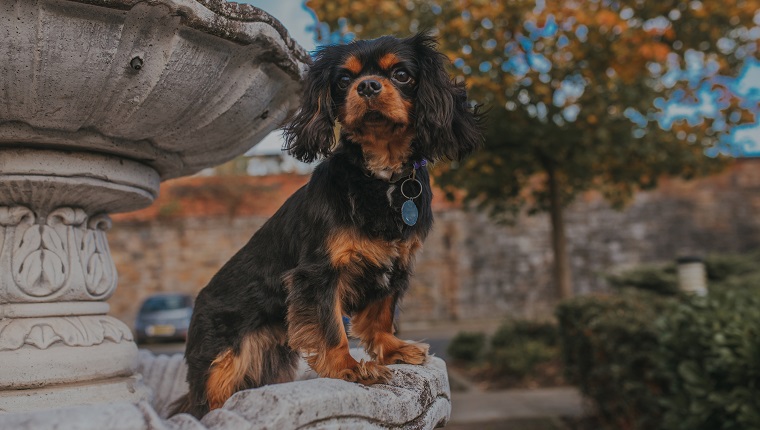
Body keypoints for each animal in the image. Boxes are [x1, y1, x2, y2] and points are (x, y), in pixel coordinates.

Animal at [170, 31, 484, 418]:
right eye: (344, 80)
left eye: (401, 75)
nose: (367, 86)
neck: (381, 176)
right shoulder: (318, 273)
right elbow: (331, 323)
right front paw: (348, 367)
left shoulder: (396, 264)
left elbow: (382, 312)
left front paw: (392, 348)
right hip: (221, 361)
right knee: (210, 402)